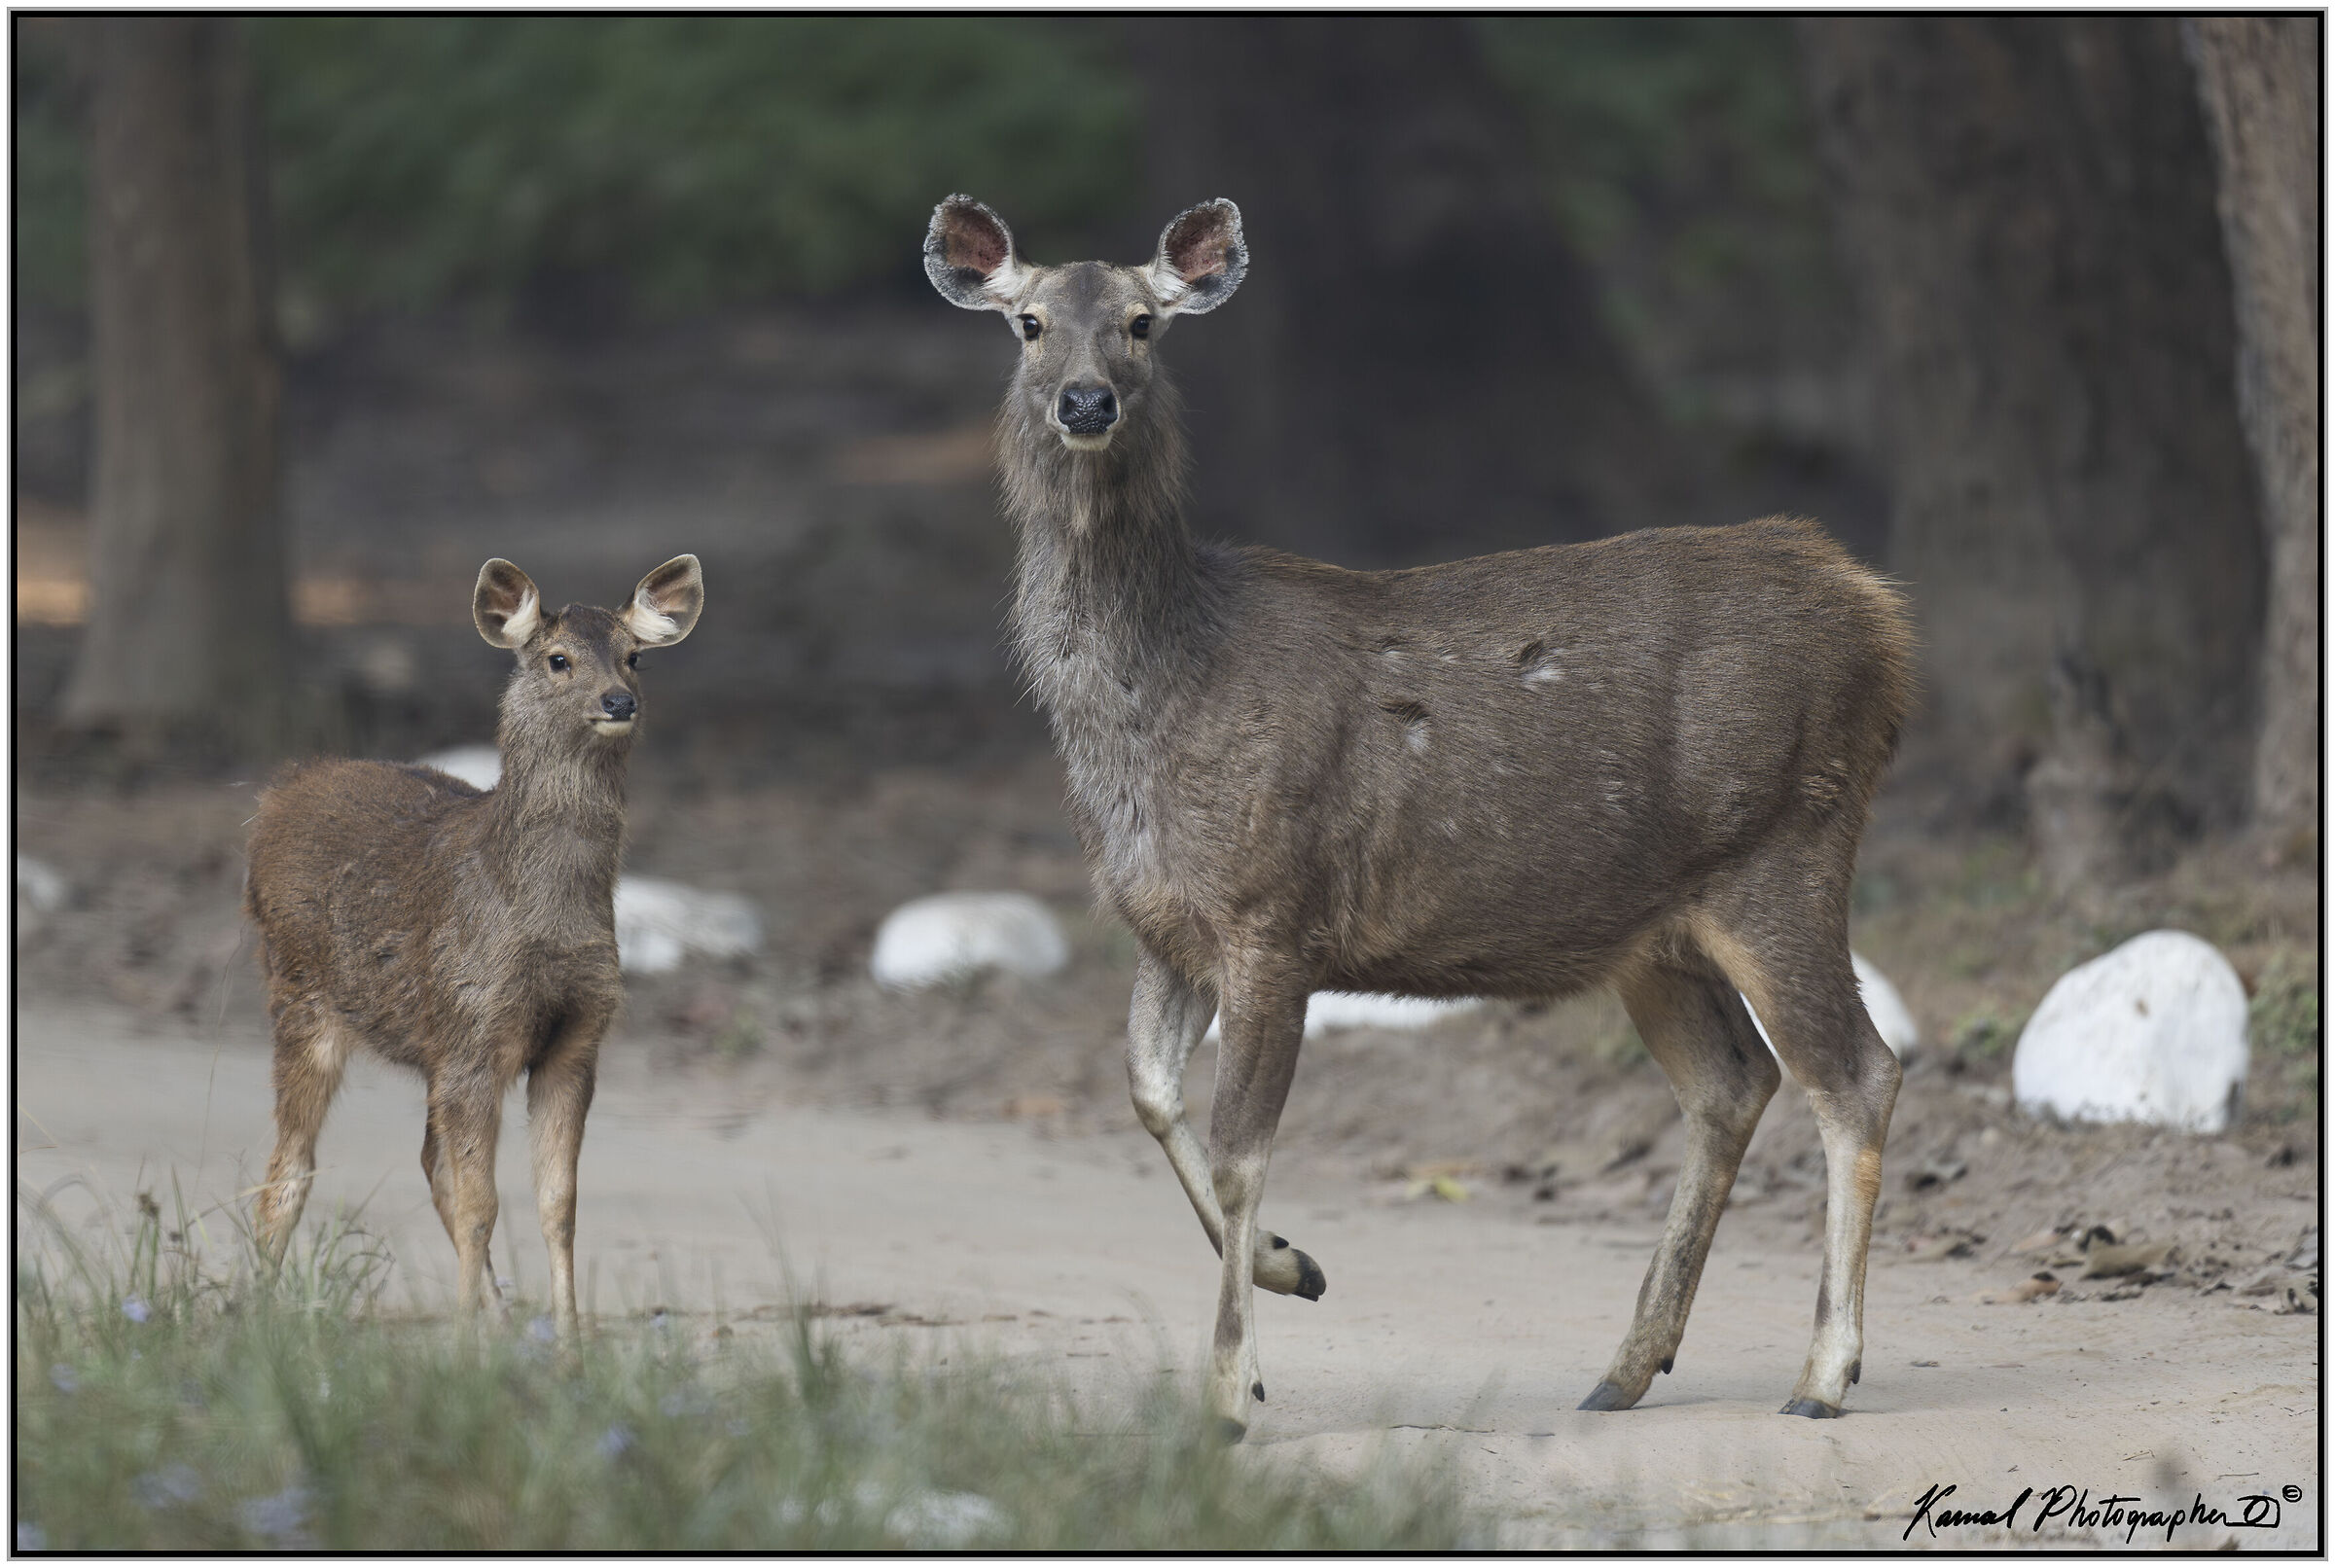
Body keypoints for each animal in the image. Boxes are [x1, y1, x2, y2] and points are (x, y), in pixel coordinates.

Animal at [245, 555, 705, 1335]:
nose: (619, 702)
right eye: (558, 659)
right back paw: (257, 1315)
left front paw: (567, 1342)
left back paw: (501, 1316)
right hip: (302, 997)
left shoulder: (573, 1041)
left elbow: (556, 1204)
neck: (540, 919)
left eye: (635, 656)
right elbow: (480, 1202)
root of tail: (279, 792)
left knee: (425, 1162)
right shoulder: (473, 1032)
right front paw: (464, 1345)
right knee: (289, 1168)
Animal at [925, 194, 1915, 1440]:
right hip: (1656, 926)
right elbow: (1150, 1095)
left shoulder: (1273, 909)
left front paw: (1232, 1390)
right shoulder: (1170, 924)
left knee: (1858, 1074)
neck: (1161, 697)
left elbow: (1241, 1147)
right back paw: (1627, 1366)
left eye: (1145, 323)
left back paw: (1823, 1373)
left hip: (1786, 847)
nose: (1086, 401)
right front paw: (1293, 1268)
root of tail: (1878, 612)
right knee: (1735, 1082)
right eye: (1030, 323)